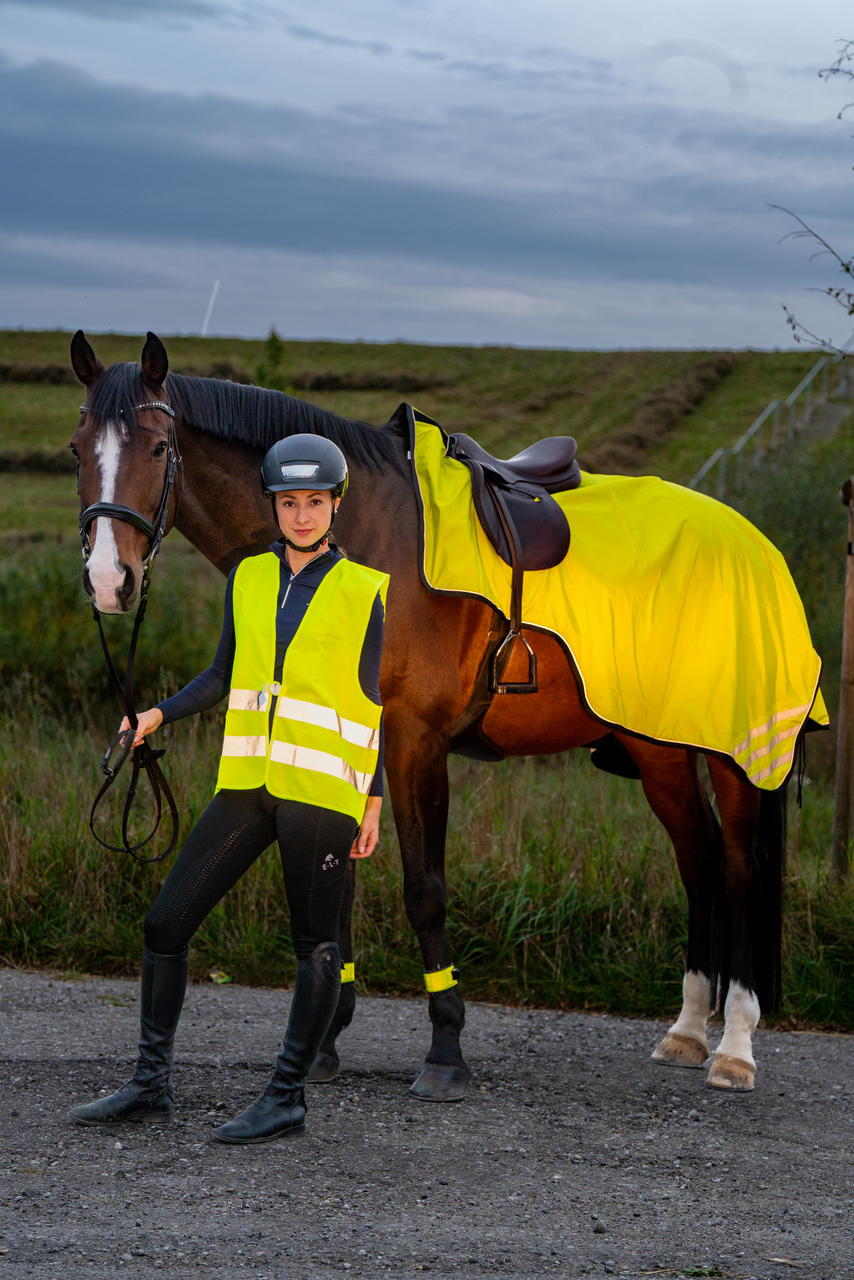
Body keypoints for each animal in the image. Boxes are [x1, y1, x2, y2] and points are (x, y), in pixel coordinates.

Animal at [70, 330, 798, 1100]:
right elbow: (338, 885)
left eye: (157, 447)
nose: (109, 582)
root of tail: (754, 543)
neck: (361, 537)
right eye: (76, 449)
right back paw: (687, 1031)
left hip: (736, 756)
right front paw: (328, 1037)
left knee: (740, 869)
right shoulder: (351, 739)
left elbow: (424, 890)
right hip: (661, 749)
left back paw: (735, 1046)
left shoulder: (416, 742)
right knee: (700, 861)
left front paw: (445, 1047)